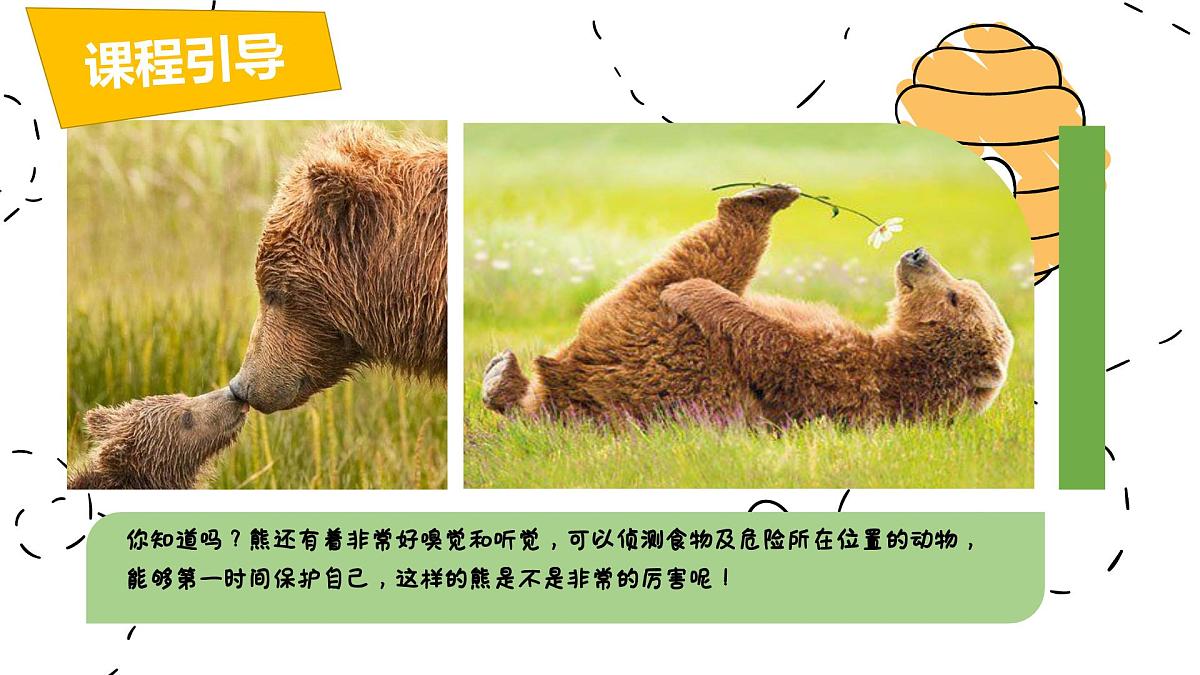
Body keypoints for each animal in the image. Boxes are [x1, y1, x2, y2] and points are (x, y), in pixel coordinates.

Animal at [481, 184, 1013, 426]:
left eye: (955, 295)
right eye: (962, 283)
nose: (918, 253)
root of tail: (570, 380)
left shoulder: (855, 377)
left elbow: (778, 343)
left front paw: (694, 293)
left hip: (651, 345)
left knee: (703, 257)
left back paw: (753, 201)